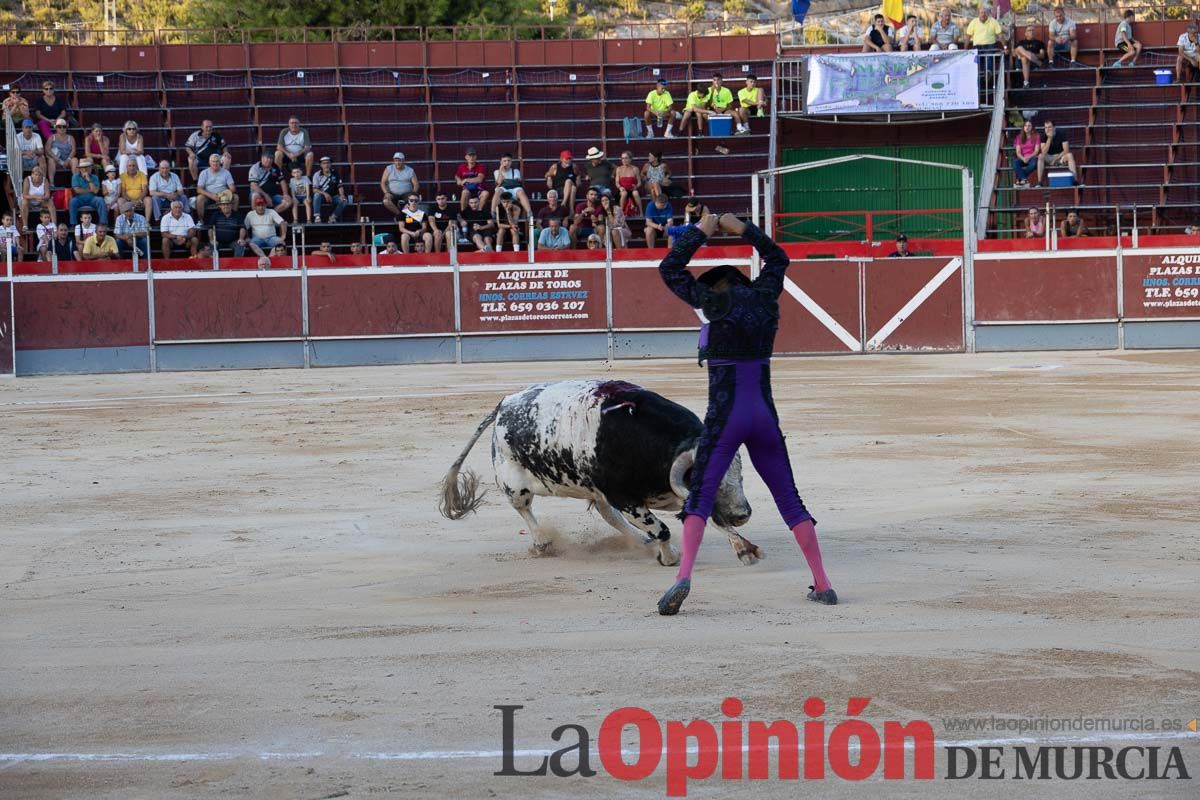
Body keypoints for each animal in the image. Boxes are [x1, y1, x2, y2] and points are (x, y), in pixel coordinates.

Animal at [436, 381, 763, 563]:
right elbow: (662, 529)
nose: (743, 514)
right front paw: (669, 557)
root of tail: (505, 403)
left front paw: (744, 549)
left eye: (739, 473)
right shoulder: (625, 497)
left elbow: (709, 518)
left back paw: (639, 542)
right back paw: (542, 543)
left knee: (608, 515)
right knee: (524, 509)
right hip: (514, 484)